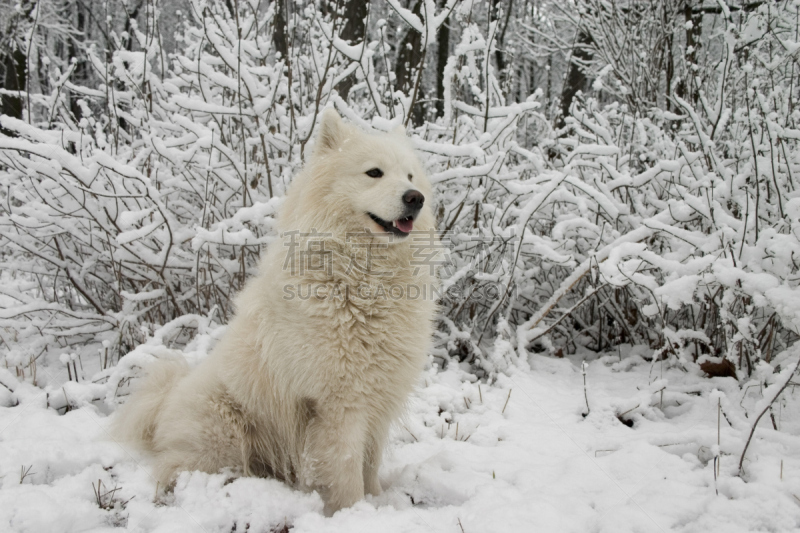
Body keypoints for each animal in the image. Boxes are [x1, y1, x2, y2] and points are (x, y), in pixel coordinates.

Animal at [111, 109, 438, 516]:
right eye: (374, 173)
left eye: (409, 177)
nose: (416, 198)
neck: (362, 282)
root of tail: (163, 404)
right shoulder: (339, 406)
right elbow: (347, 471)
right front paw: (351, 513)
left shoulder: (378, 398)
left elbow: (370, 463)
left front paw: (378, 503)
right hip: (225, 432)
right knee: (172, 469)